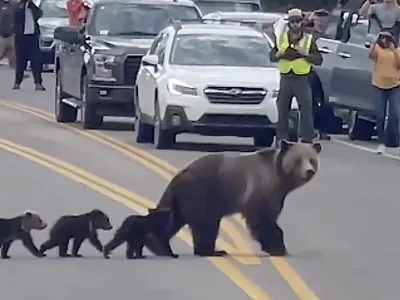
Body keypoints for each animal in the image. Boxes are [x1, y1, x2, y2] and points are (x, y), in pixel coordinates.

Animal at [145, 139, 320, 256]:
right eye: (298, 160)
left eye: (312, 160)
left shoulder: (277, 194)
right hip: (202, 192)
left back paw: (158, 245)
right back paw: (211, 251)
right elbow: (262, 218)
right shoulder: (260, 188)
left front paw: (277, 246)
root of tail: (179, 175)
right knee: (205, 223)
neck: (280, 177)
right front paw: (277, 247)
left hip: (183, 199)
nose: (309, 171)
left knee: (173, 219)